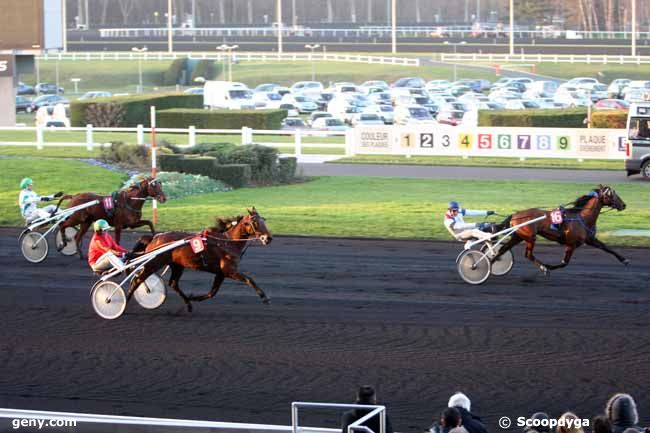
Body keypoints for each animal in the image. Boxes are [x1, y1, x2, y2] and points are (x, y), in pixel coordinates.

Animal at [126, 208, 270, 312]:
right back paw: (125, 301)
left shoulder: (221, 273)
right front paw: (264, 297)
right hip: (155, 262)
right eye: (255, 222)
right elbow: (249, 279)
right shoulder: (229, 270)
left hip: (177, 265)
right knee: (138, 279)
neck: (228, 242)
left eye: (264, 220)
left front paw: (195, 298)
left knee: (173, 283)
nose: (268, 238)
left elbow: (212, 292)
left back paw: (188, 304)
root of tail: (155, 238)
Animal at [492, 185, 628, 274]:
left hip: (518, 236)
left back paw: (492, 263)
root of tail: (515, 215)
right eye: (611, 194)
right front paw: (548, 267)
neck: (582, 218)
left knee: (502, 250)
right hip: (530, 237)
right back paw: (543, 267)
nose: (624, 205)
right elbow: (564, 263)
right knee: (528, 254)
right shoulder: (571, 244)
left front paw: (624, 260)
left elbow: (607, 248)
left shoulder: (590, 239)